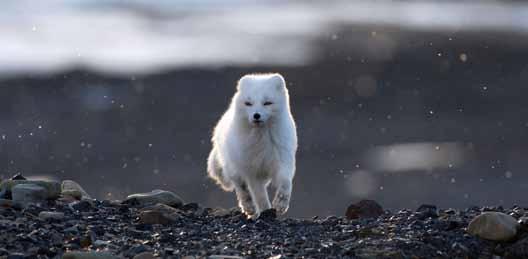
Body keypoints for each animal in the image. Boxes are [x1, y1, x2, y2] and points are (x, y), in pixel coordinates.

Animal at [206, 73, 296, 219]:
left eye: (267, 102)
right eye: (248, 103)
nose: (256, 115)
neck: (261, 141)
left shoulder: (283, 159)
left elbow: (285, 182)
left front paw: (280, 204)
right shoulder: (252, 172)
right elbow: (258, 195)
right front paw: (264, 210)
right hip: (234, 167)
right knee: (242, 188)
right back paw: (250, 209)